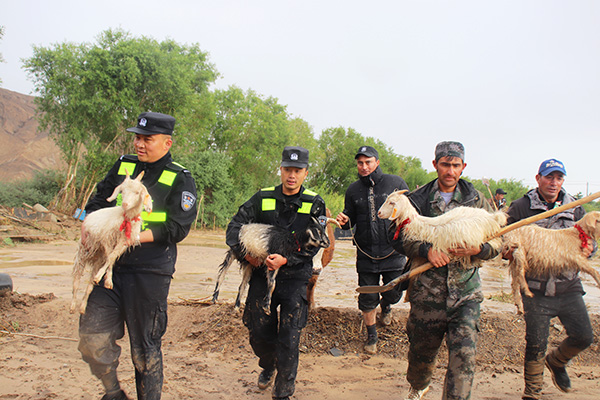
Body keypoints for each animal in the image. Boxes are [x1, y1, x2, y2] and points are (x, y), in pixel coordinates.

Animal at [69, 170, 152, 314]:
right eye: (122, 191)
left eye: (137, 193)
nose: (125, 204)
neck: (125, 218)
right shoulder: (106, 238)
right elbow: (109, 257)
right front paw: (106, 278)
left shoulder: (124, 242)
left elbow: (112, 258)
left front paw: (105, 280)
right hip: (83, 252)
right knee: (76, 281)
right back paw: (73, 305)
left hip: (97, 260)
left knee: (89, 286)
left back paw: (83, 306)